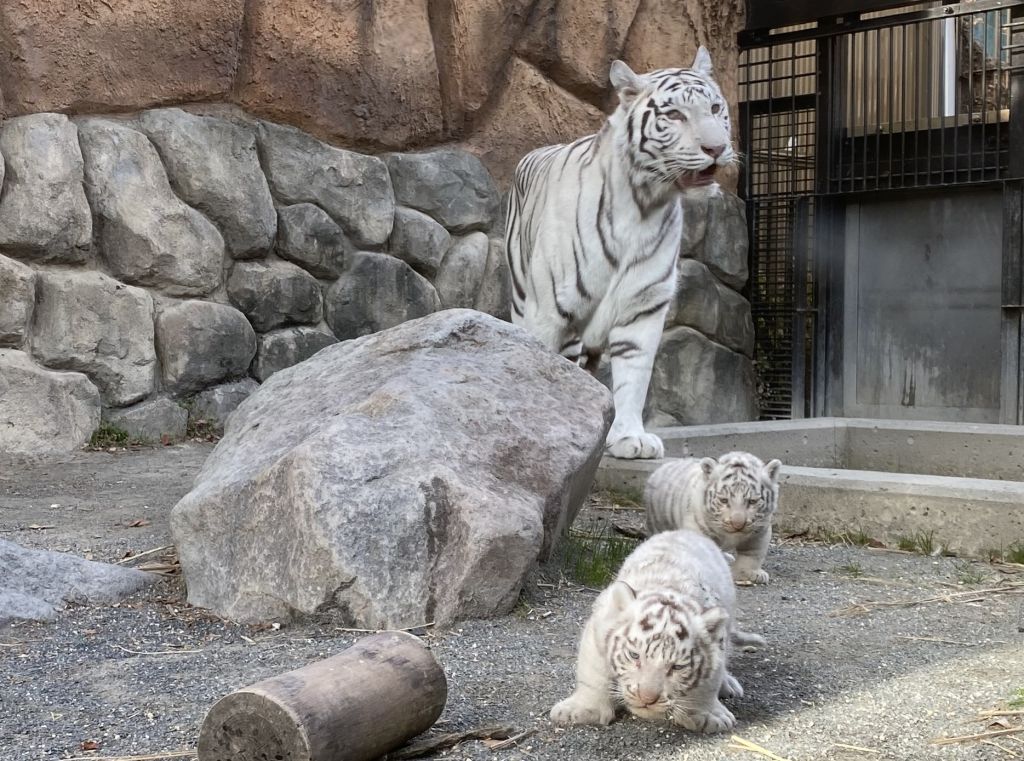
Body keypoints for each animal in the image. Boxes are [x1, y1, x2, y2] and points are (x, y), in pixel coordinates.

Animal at [505, 49, 737, 464]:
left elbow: (634, 377)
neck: (645, 204)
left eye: (714, 108)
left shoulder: (642, 306)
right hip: (522, 297)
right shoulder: (548, 312)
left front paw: (630, 436)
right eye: (674, 115)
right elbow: (537, 371)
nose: (716, 148)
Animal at [552, 528, 761, 733]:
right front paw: (582, 711)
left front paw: (708, 716)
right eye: (634, 656)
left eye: (677, 667)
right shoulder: (597, 631)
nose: (647, 698)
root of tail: (687, 531)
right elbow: (594, 676)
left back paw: (729, 685)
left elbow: (708, 682)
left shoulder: (715, 645)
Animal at [647, 452, 782, 581]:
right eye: (724, 500)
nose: (738, 525)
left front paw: (750, 574)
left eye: (752, 501)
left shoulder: (760, 530)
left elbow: (752, 555)